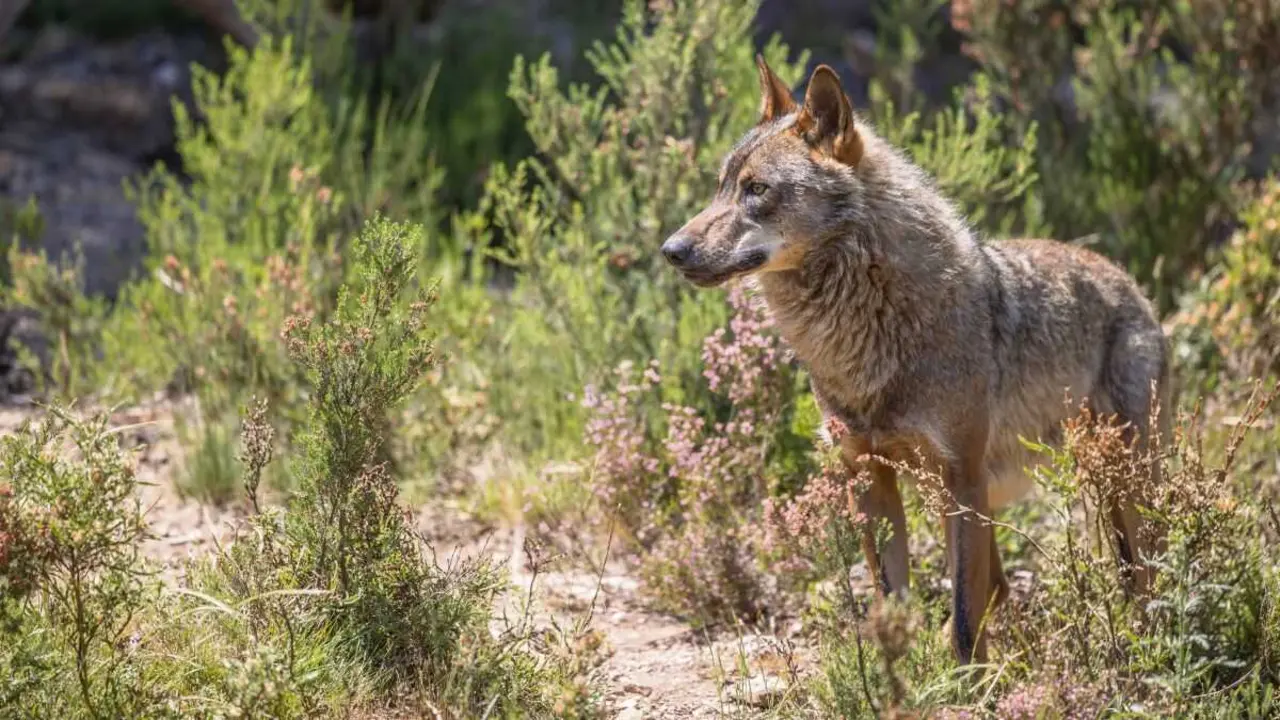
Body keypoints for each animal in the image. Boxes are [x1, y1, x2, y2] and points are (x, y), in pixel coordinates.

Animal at [661, 56, 1170, 664]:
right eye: (720, 187)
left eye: (756, 189)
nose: (671, 250)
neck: (866, 336)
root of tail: (1132, 284)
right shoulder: (867, 475)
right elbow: (893, 602)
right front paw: (897, 673)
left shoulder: (961, 475)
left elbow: (964, 621)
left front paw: (966, 680)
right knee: (1004, 586)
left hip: (1122, 486)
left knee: (1143, 573)